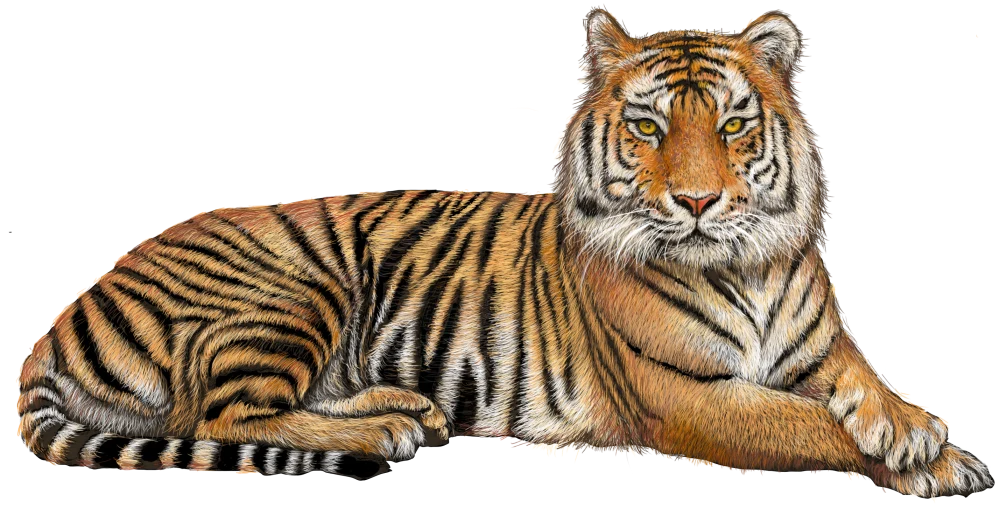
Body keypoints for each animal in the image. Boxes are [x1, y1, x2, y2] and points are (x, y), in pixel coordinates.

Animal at [15, 8, 994, 496]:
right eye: (648, 128)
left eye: (730, 126)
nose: (698, 202)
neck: (746, 264)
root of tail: (64, 314)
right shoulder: (686, 397)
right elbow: (807, 423)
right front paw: (927, 460)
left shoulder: (819, 344)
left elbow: (861, 376)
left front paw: (923, 434)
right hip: (291, 288)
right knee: (220, 417)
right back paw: (383, 428)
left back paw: (406, 408)